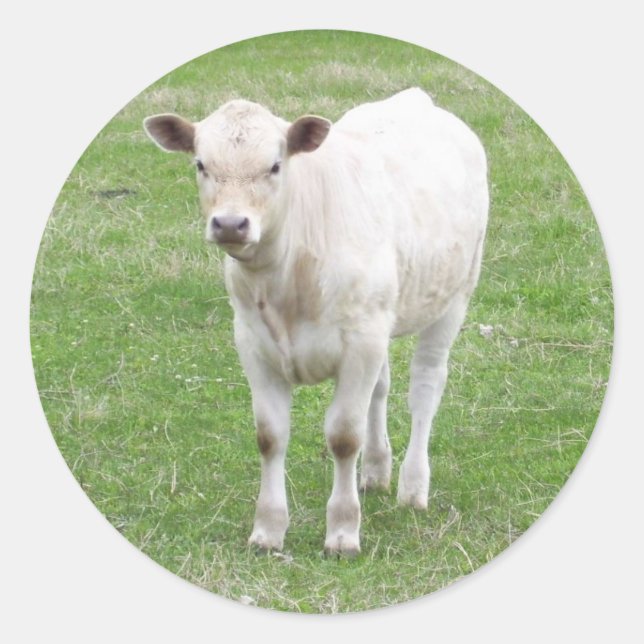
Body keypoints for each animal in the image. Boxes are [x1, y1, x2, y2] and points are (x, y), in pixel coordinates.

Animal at [143, 88, 488, 555]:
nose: (231, 223)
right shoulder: (254, 344)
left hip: (454, 296)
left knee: (425, 388)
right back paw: (376, 472)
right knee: (381, 389)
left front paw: (342, 532)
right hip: (383, 314)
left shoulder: (359, 344)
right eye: (201, 164)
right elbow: (270, 436)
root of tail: (415, 99)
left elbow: (343, 436)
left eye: (275, 165)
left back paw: (413, 488)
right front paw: (268, 530)